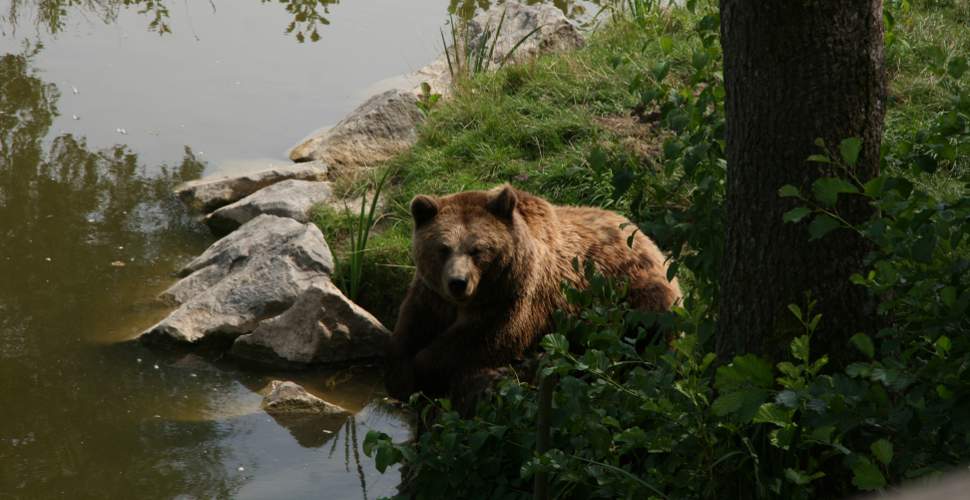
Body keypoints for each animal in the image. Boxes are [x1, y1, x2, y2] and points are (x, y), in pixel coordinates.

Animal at [382, 184, 676, 402]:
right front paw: (400, 374)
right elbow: (410, 327)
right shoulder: (432, 295)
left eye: (477, 250)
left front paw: (424, 366)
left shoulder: (513, 296)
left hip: (635, 290)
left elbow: (484, 339)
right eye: (443, 248)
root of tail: (645, 236)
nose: (458, 282)